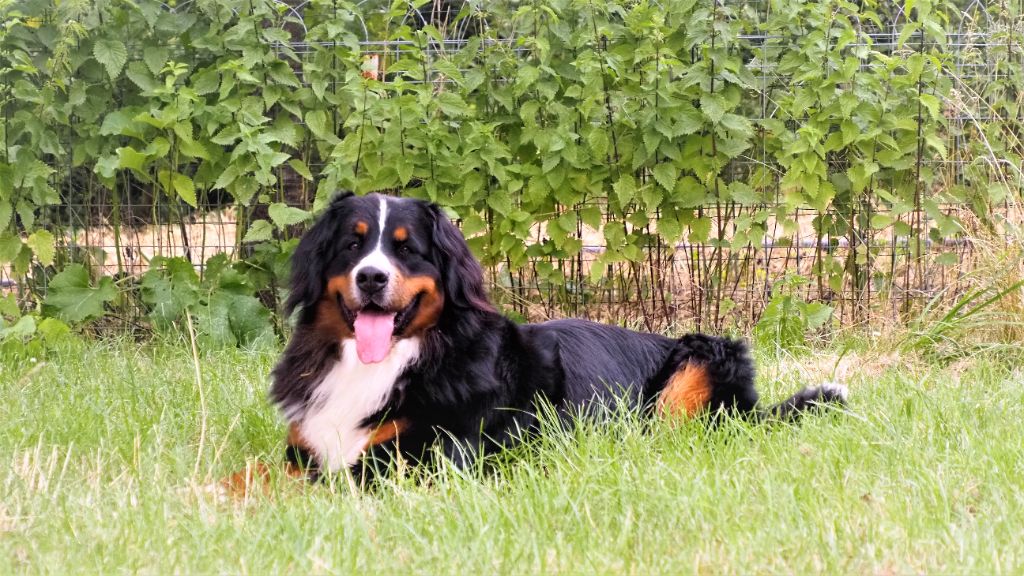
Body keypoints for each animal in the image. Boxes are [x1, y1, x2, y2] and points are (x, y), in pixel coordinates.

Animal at [267, 191, 846, 484]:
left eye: (407, 249)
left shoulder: (423, 462)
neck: (394, 360)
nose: (371, 278)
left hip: (700, 356)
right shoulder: (303, 451)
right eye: (353, 243)